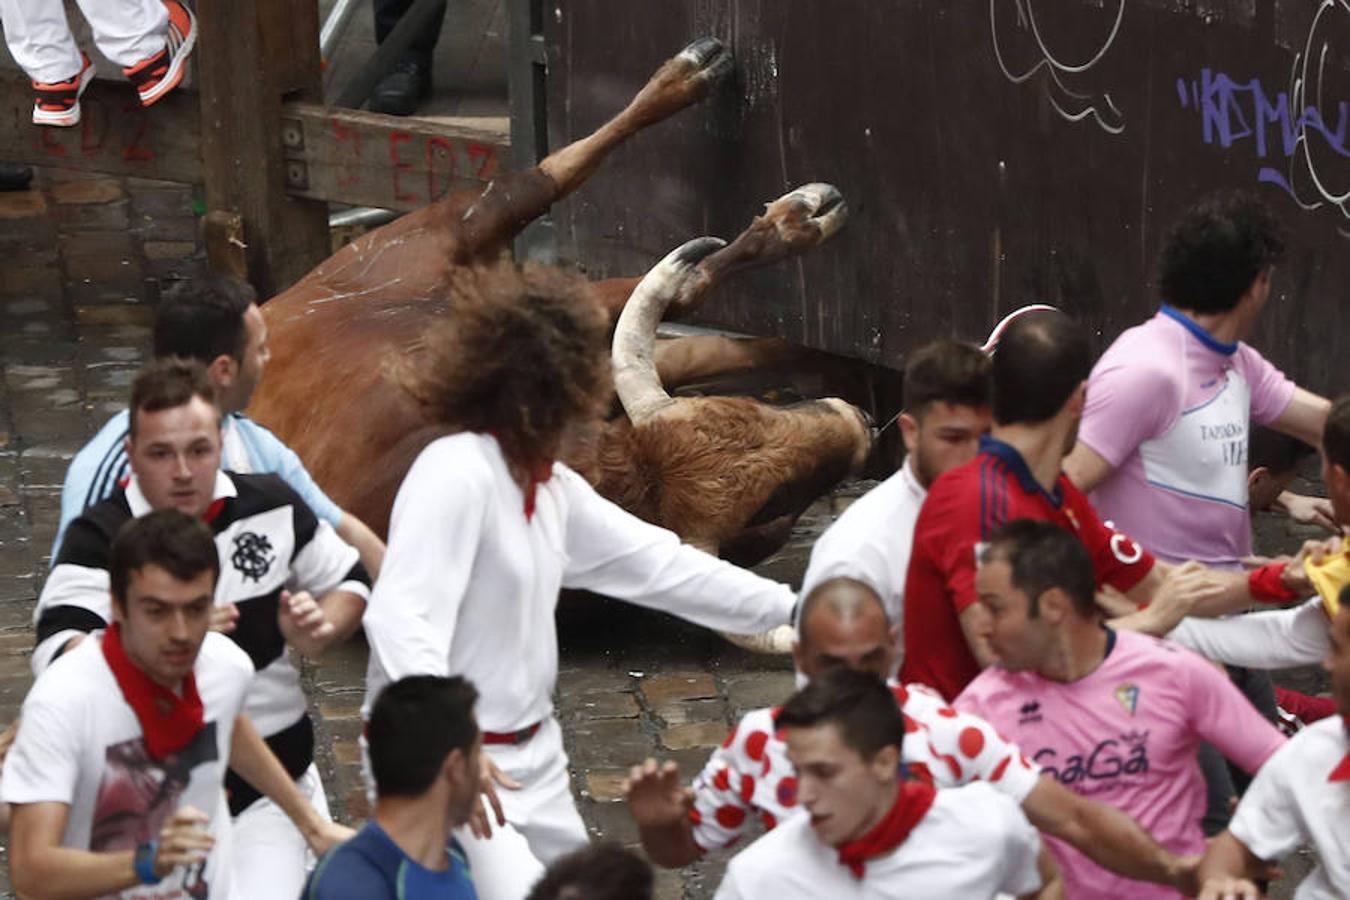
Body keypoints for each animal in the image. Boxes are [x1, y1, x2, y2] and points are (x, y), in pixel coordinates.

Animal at [248, 38, 869, 569]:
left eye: (747, 409)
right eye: (774, 499)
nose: (857, 423)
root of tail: (285, 301)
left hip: (459, 244)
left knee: (559, 189)